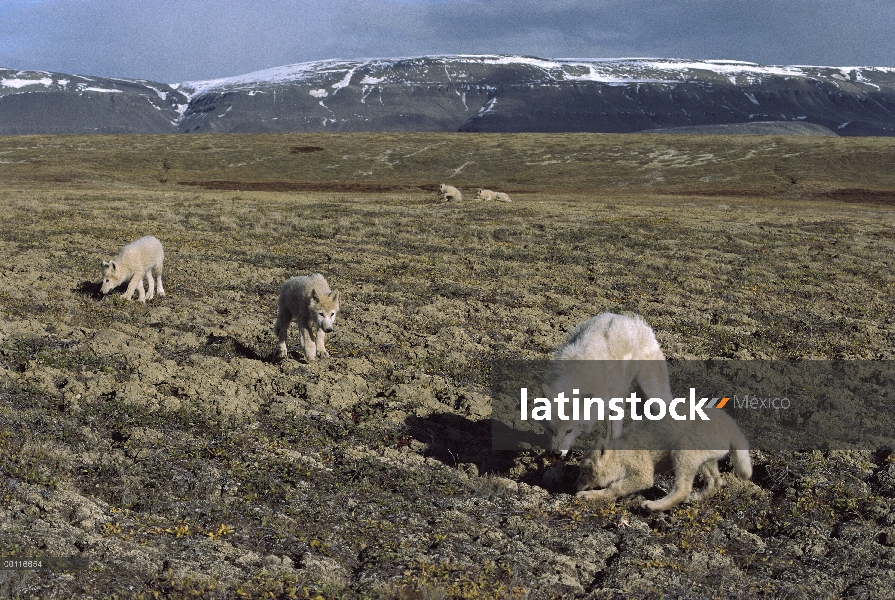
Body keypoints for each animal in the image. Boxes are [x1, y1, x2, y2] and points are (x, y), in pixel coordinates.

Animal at [540, 312, 672, 458]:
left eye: (569, 430)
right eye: (551, 430)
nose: (556, 453)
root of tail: (636, 321)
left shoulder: (617, 400)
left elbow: (615, 432)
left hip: (653, 391)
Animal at [576, 410, 752, 512]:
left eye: (584, 472)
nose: (574, 486)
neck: (622, 453)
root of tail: (733, 429)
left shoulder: (641, 466)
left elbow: (618, 486)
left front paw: (588, 495)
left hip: (686, 446)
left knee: (683, 487)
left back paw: (652, 505)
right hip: (706, 454)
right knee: (714, 480)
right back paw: (694, 498)